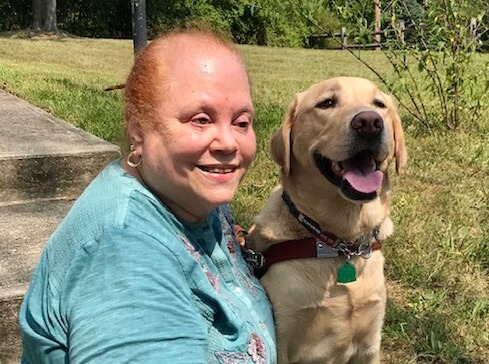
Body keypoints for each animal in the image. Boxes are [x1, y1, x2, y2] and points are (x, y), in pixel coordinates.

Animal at [246, 77, 406, 364]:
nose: (369, 122)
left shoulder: (370, 344)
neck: (341, 243)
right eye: (327, 103)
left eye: (379, 104)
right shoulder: (285, 338)